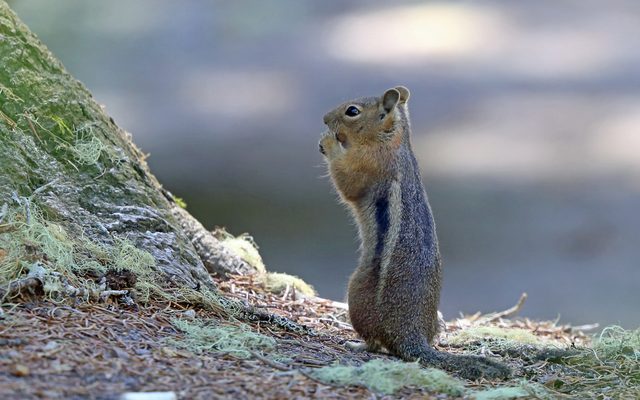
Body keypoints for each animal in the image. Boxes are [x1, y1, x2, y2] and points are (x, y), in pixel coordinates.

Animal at [319, 86, 511, 380]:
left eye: (352, 111)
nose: (325, 119)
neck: (394, 142)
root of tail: (411, 333)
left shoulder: (367, 164)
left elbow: (346, 181)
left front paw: (328, 142)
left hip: (356, 294)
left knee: (375, 342)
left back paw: (356, 344)